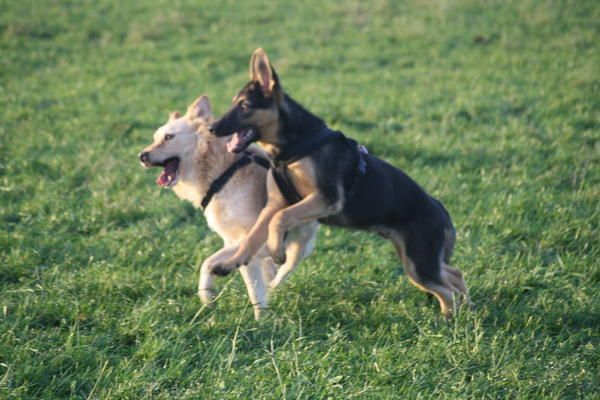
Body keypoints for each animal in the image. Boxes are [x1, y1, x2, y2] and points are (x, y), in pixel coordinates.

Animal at [139, 94, 318, 318]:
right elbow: (224, 269)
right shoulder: (233, 240)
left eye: (169, 137)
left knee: (282, 270)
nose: (142, 156)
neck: (221, 173)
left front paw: (261, 320)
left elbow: (223, 267)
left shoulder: (255, 238)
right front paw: (208, 295)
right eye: (155, 138)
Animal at [206, 48, 474, 316]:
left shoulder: (325, 198)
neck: (293, 146)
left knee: (447, 290)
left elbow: (279, 219)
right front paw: (231, 262)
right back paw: (466, 309)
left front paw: (277, 252)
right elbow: (252, 237)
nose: (212, 128)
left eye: (244, 106)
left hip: (418, 263)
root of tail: (441, 208)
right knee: (454, 275)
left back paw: (449, 319)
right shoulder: (274, 204)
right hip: (415, 260)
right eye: (233, 103)